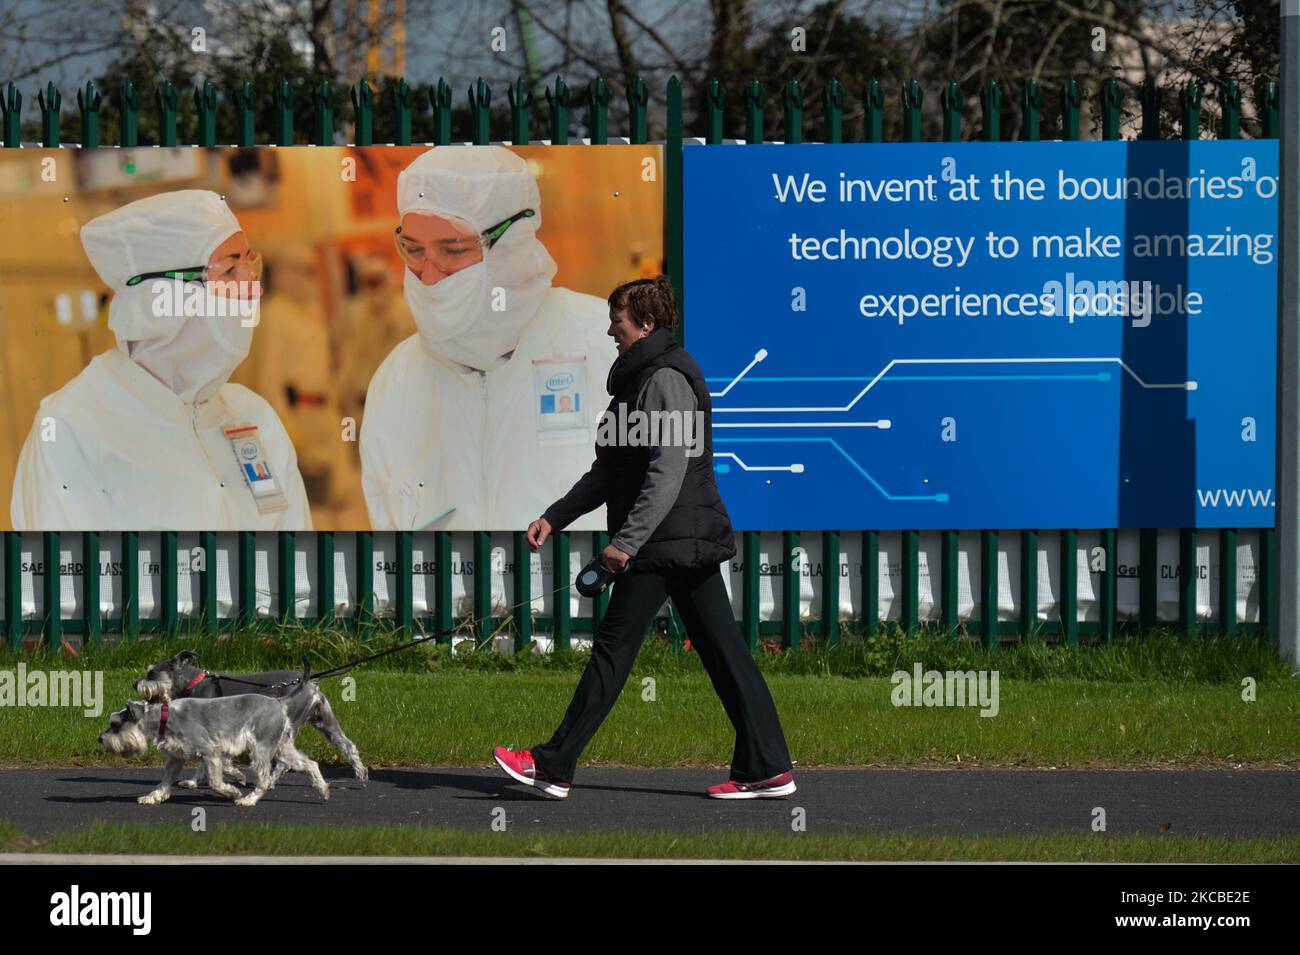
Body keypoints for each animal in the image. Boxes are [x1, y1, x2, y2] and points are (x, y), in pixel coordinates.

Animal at [97, 670, 330, 805]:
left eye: (114, 724)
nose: (100, 739)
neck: (164, 717)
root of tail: (280, 702)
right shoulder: (176, 758)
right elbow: (164, 782)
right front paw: (151, 797)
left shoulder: (210, 752)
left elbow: (215, 781)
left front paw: (233, 792)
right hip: (282, 748)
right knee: (310, 764)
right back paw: (324, 791)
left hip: (261, 749)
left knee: (264, 780)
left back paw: (248, 800)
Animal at [133, 649, 366, 784]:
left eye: (151, 673)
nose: (134, 683)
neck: (192, 683)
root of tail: (310, 683)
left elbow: (204, 761)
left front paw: (197, 781)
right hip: (324, 721)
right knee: (347, 745)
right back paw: (361, 774)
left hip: (286, 728)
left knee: (284, 761)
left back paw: (269, 781)